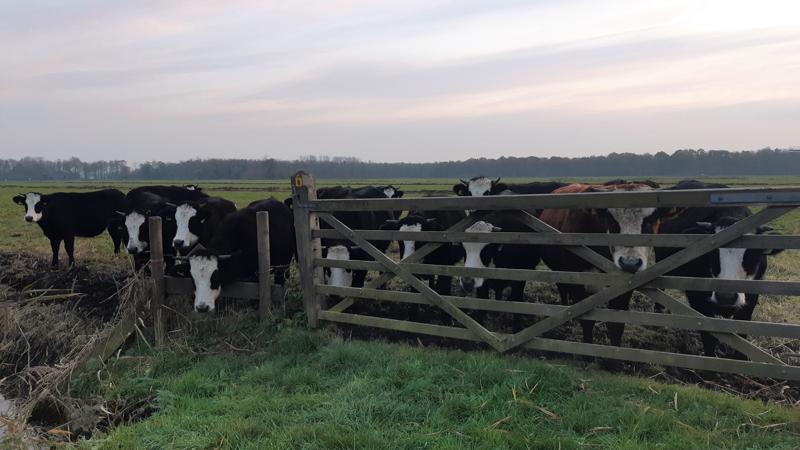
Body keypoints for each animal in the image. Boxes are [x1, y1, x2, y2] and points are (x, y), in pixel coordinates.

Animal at [540, 181, 680, 350]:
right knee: (562, 289)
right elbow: (587, 321)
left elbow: (616, 325)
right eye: (612, 222)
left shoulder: (624, 286)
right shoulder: (578, 281)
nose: (630, 263)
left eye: (649, 221)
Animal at [656, 180, 780, 358]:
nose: (726, 297)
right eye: (712, 250)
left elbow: (742, 335)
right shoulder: (698, 298)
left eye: (751, 252)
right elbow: (709, 336)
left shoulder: (752, 296)